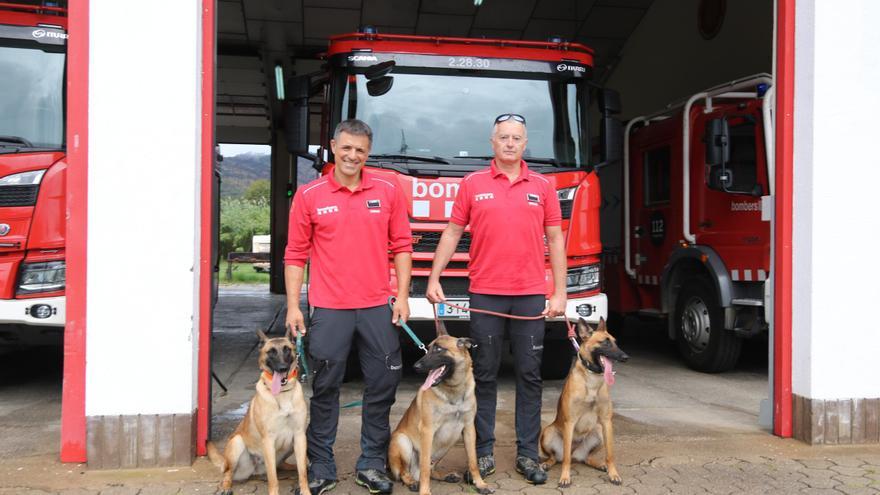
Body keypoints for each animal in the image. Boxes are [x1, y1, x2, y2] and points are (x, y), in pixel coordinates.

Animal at [207, 330, 312, 495]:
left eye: (287, 350)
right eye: (271, 352)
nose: (282, 368)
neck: (282, 393)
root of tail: (256, 471)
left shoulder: (300, 435)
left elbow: (302, 473)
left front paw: (305, 490)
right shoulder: (268, 440)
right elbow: (273, 478)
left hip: (290, 446)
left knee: (282, 466)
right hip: (237, 443)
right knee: (228, 473)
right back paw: (225, 487)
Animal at [388, 322, 492, 495]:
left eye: (438, 349)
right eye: (429, 348)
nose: (415, 366)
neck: (453, 391)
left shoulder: (469, 429)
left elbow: (473, 461)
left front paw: (480, 484)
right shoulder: (427, 431)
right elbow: (424, 467)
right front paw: (424, 491)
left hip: (448, 443)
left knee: (431, 469)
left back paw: (445, 476)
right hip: (402, 441)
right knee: (406, 471)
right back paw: (412, 482)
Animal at [540, 318, 628, 488]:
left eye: (615, 342)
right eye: (605, 343)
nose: (626, 357)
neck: (592, 379)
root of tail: (576, 453)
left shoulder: (606, 422)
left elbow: (610, 454)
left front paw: (613, 474)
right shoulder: (570, 422)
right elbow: (566, 459)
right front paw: (565, 477)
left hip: (599, 431)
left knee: (586, 458)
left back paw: (600, 465)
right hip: (548, 432)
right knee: (559, 457)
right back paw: (547, 464)